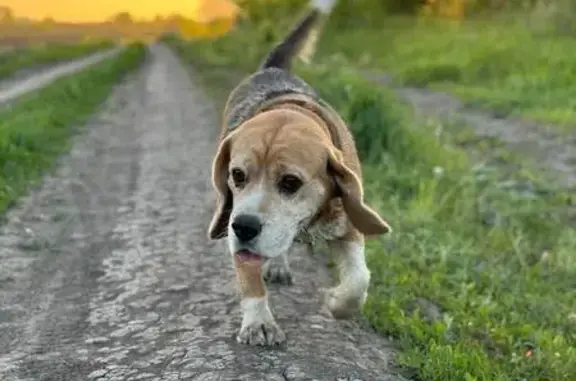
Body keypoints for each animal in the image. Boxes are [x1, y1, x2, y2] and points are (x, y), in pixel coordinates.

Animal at [207, 0, 392, 346]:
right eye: (237, 176)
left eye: (291, 182)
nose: (244, 228)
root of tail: (273, 68)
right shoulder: (235, 222)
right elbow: (250, 279)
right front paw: (259, 322)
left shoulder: (349, 223)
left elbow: (359, 280)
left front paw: (337, 303)